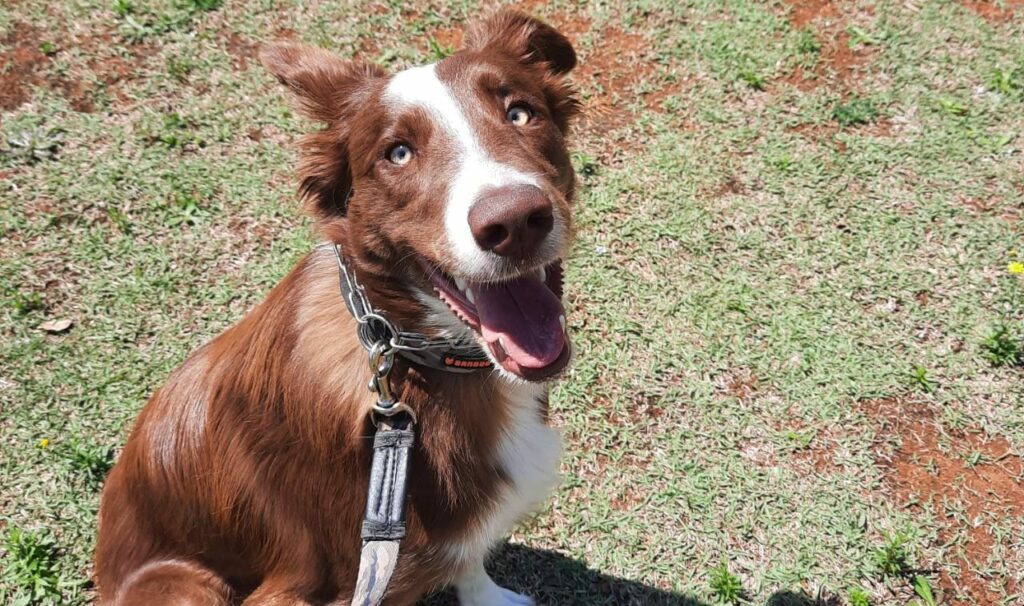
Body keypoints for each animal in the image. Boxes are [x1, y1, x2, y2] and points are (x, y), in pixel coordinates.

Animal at [93, 10, 581, 606]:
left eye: (520, 112)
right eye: (398, 153)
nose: (513, 222)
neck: (413, 355)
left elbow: (469, 562)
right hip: (183, 583)